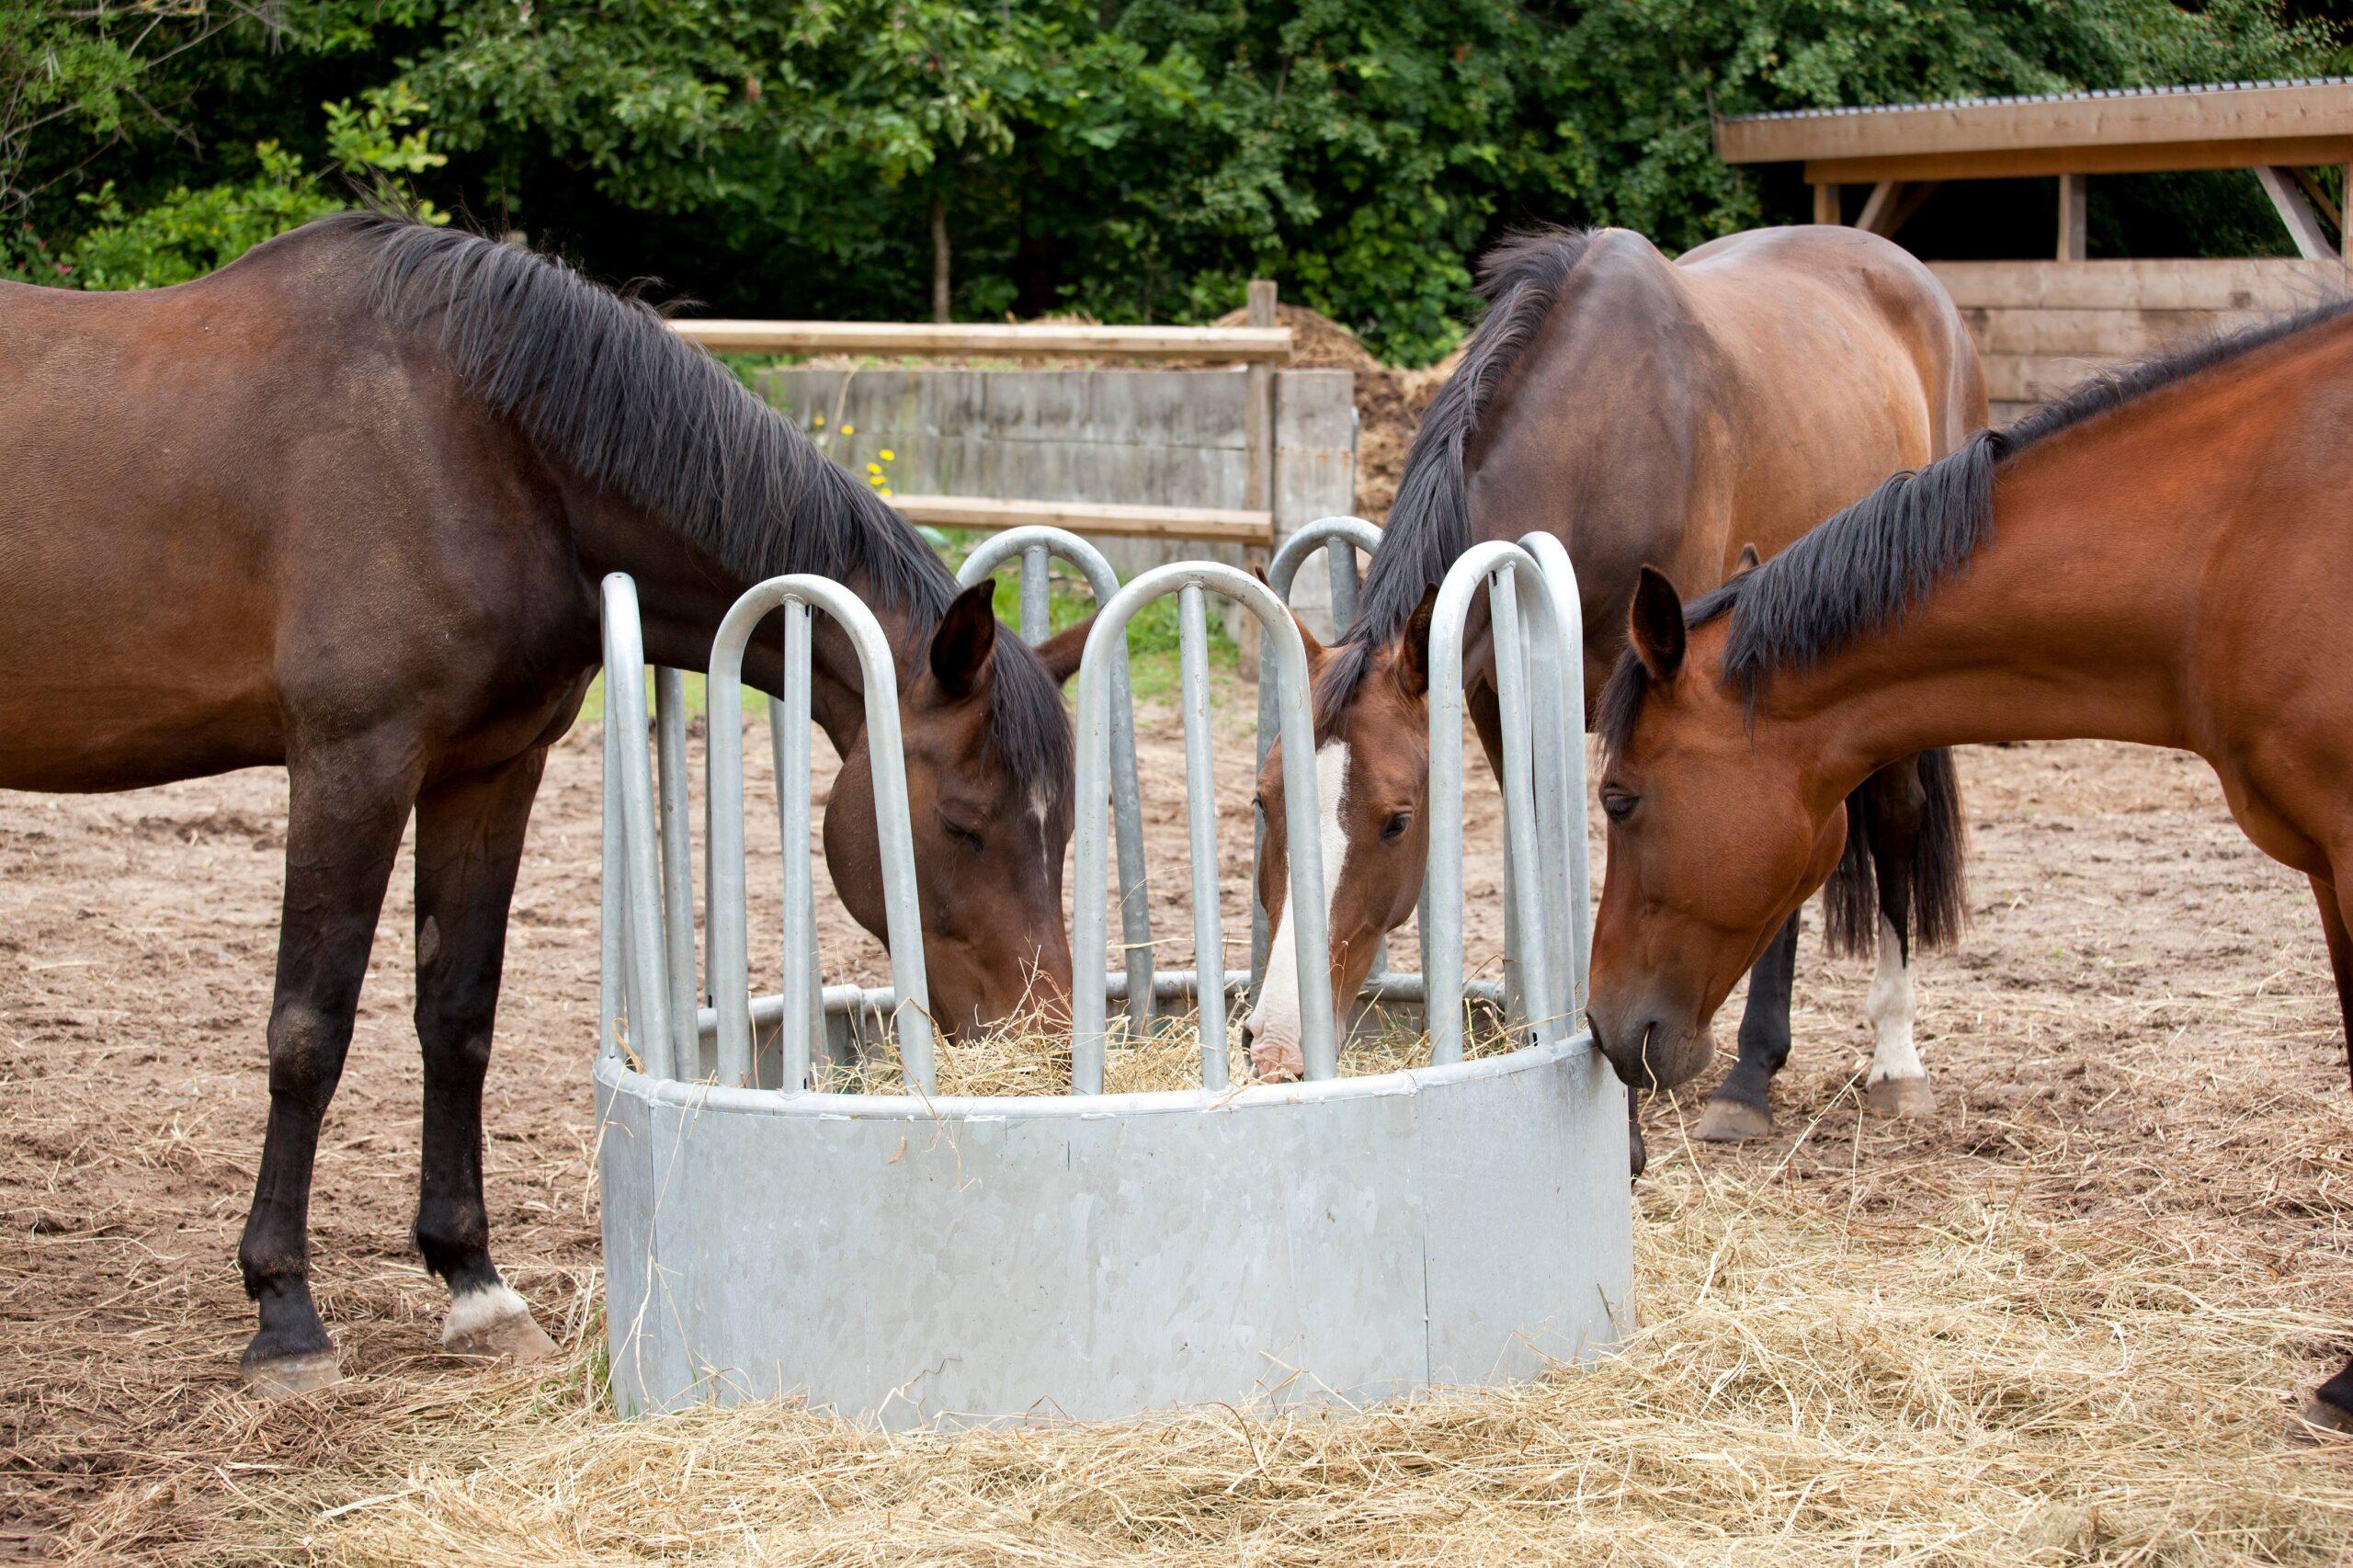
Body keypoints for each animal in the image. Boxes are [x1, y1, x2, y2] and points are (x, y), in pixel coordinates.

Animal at [0, 210, 1082, 1393]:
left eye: (1064, 829)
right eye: (961, 825)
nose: (1047, 1027)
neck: (472, 448)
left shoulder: (488, 771)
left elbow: (457, 1016)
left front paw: (473, 1283)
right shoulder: (351, 763)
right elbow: (308, 1029)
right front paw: (285, 1310)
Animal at [1251, 222, 1985, 1149]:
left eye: (1396, 821)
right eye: (1264, 801)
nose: (1277, 1039)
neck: (1603, 433)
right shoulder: (1501, 705)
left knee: (1890, 826)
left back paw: (1869, 1063)